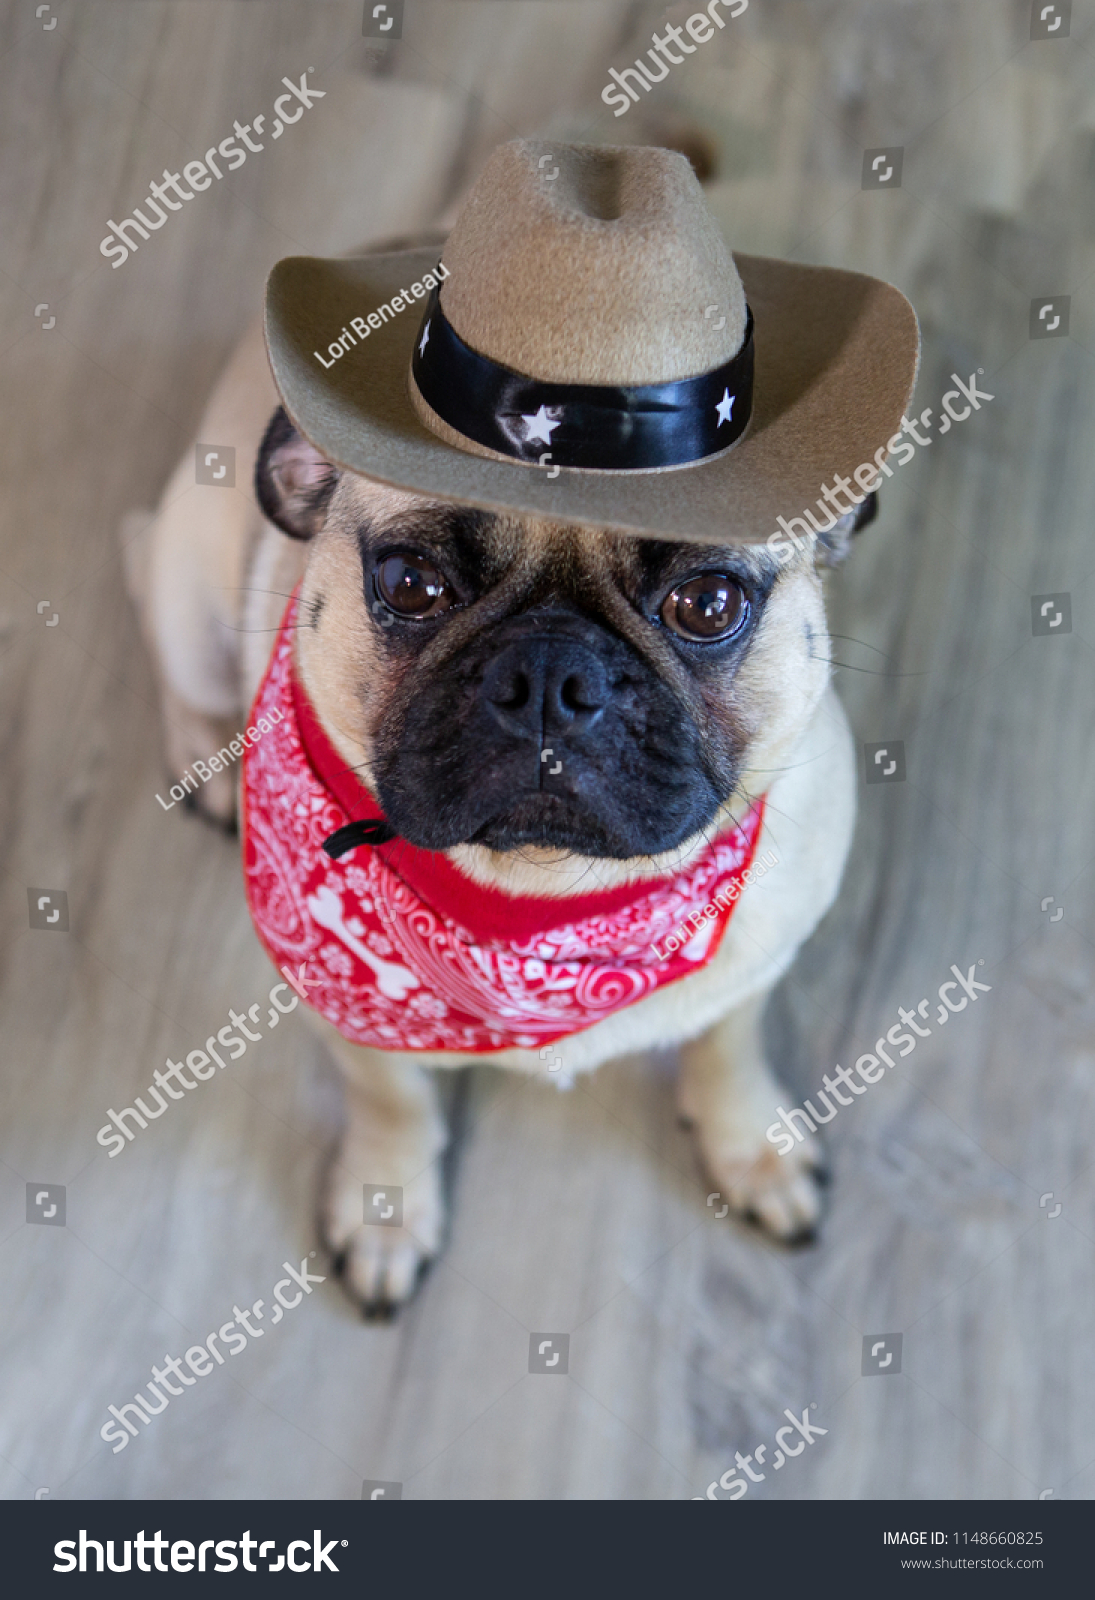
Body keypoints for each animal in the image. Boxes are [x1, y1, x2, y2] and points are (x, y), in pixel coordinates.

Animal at [126, 140, 915, 1312]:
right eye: (410, 584)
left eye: (708, 603)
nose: (552, 674)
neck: (550, 905)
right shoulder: (350, 1023)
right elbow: (391, 1100)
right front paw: (388, 1205)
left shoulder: (756, 967)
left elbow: (726, 1046)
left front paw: (753, 1145)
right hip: (189, 591)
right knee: (156, 604)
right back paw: (208, 764)